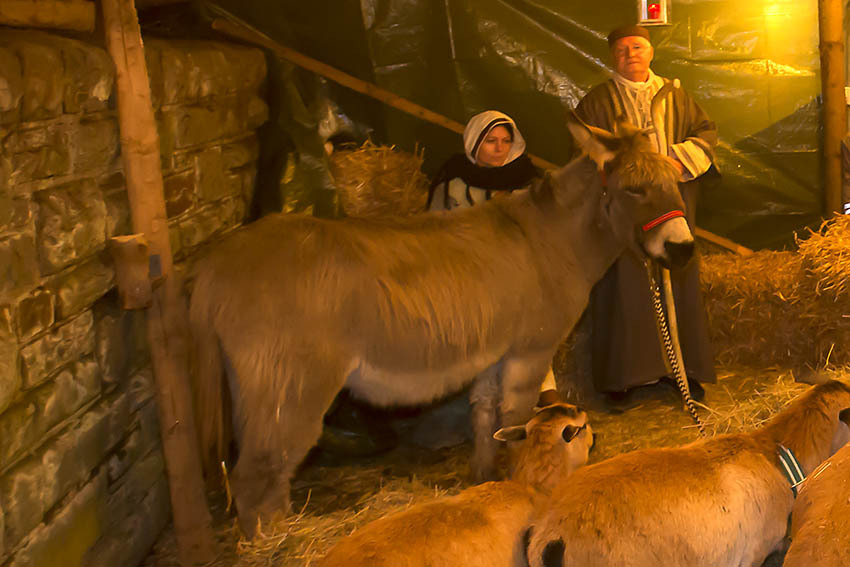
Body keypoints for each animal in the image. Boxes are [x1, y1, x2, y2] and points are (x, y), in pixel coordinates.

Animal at [189, 108, 692, 536]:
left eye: (675, 182)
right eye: (634, 189)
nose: (684, 249)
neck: (550, 240)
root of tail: (215, 262)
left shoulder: (494, 352)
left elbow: (486, 415)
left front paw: (484, 477)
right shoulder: (530, 350)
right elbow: (518, 416)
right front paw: (518, 479)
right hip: (291, 388)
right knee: (259, 474)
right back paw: (279, 542)